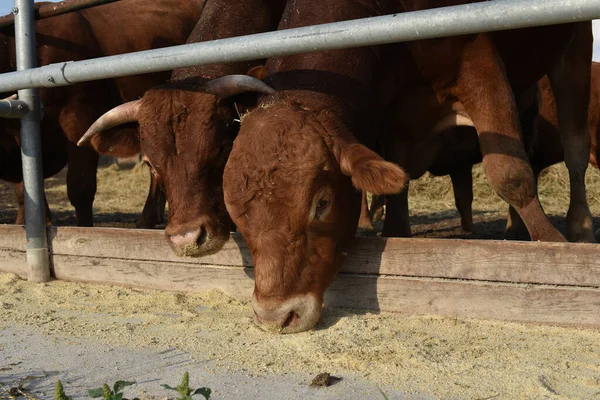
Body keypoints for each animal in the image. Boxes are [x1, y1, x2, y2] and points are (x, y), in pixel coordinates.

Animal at [220, 0, 592, 332]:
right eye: (236, 215)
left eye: (322, 203)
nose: (275, 316)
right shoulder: (394, 117)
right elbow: (397, 185)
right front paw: (398, 237)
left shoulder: (478, 59)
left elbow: (510, 173)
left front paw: (552, 248)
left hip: (574, 44)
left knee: (574, 148)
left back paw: (579, 225)